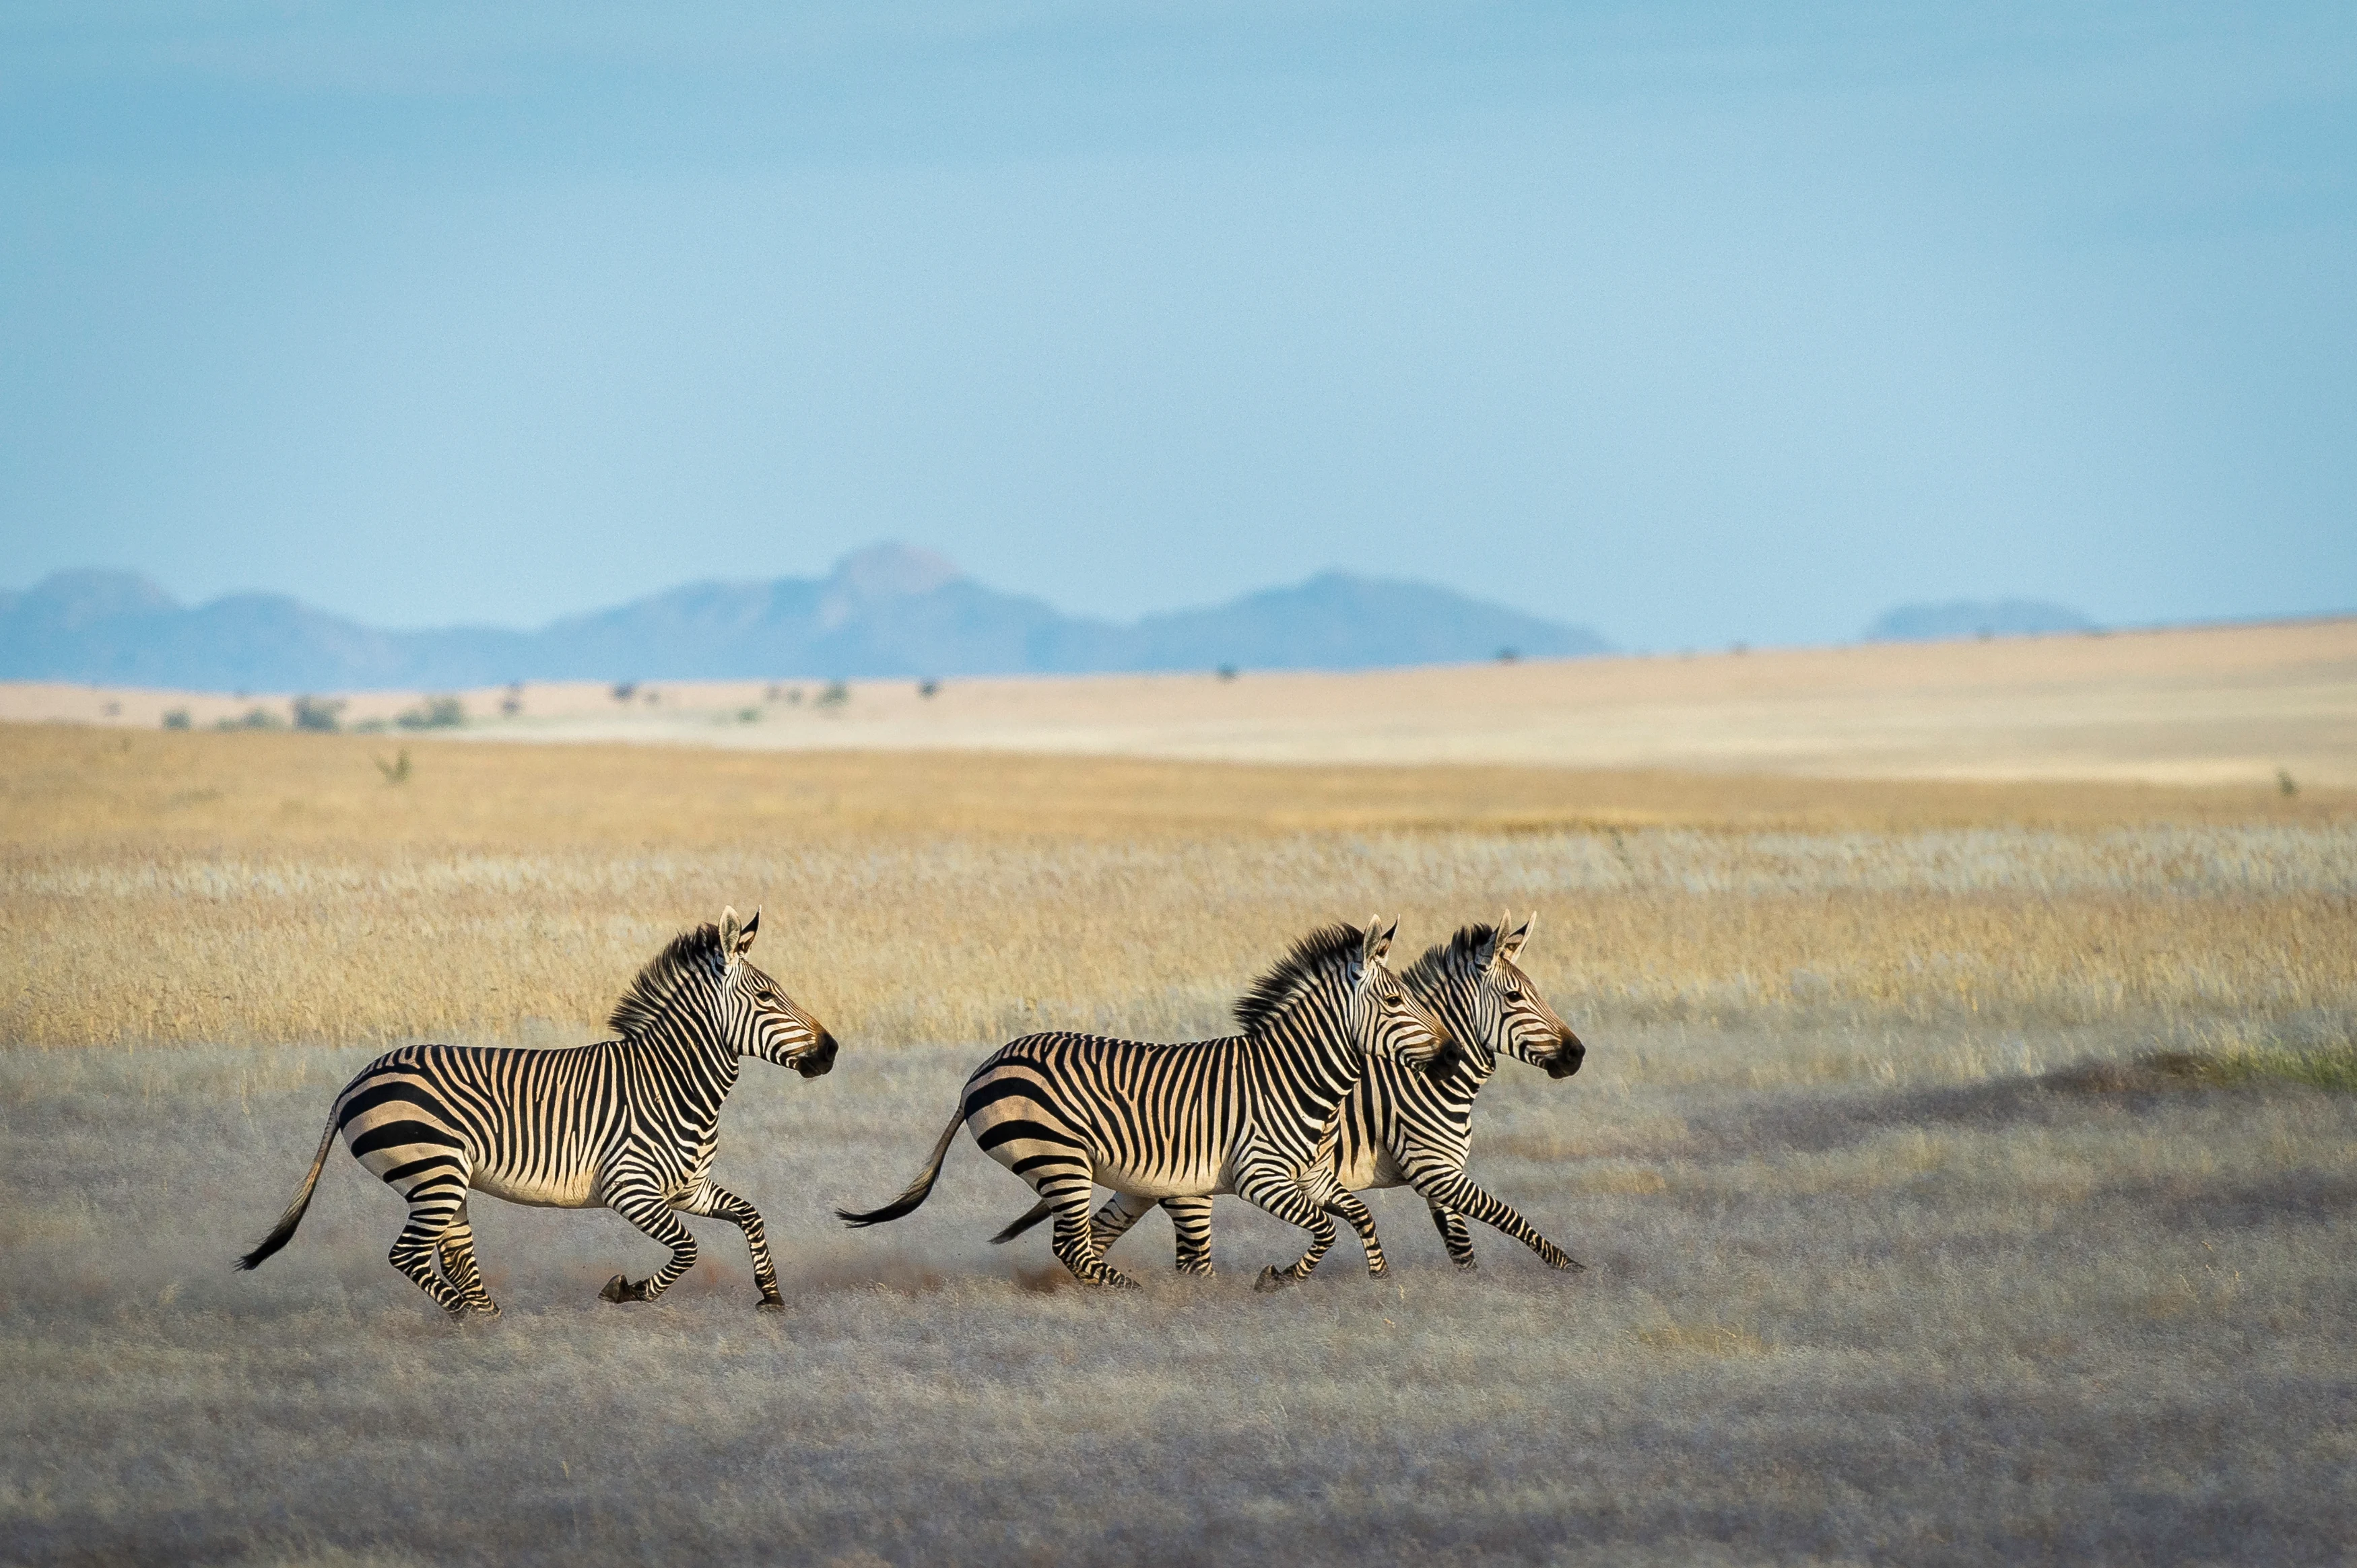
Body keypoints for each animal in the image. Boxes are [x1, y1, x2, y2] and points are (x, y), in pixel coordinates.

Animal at [236, 907, 838, 1316]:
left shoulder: (687, 1188)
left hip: (444, 1182)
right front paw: (626, 1290)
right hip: (433, 1172)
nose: (831, 1050)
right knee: (408, 1256)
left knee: (453, 1254)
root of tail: (356, 1079)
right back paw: (467, 1316)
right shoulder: (630, 1188)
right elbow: (687, 1250)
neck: (671, 1083)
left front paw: (771, 1293)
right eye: (766, 998)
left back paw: (490, 1317)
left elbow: (751, 1214)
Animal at [835, 918, 1448, 1290]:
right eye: (1395, 1000)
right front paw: (1276, 1277)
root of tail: (979, 1072)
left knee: (1084, 1243)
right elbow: (1324, 1229)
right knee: (1073, 1245)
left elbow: (1359, 1216)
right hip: (1061, 1159)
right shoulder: (1259, 1176)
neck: (1292, 1076)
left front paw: (1379, 1278)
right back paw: (1136, 1292)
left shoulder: (1310, 1175)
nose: (1449, 1054)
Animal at [994, 912, 1586, 1278]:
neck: (1419, 1080)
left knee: (1098, 1235)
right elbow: (1507, 1216)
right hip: (1185, 1188)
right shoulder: (1432, 1168)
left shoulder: (1438, 1175)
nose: (1578, 1054)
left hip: (1142, 1184)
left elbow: (1462, 1246)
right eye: (1516, 997)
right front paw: (1569, 1268)